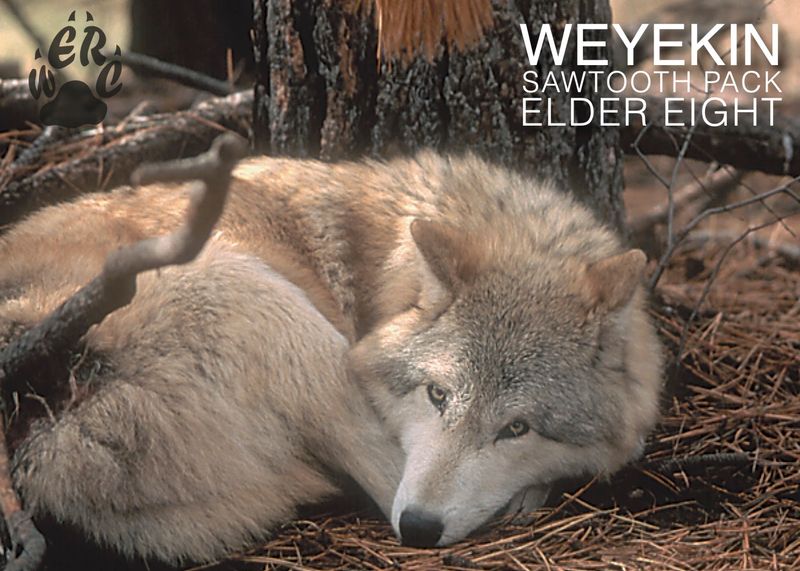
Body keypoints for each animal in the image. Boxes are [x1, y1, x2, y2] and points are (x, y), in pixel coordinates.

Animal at [0, 151, 662, 563]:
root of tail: (43, 404)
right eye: (437, 395)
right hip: (275, 309)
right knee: (377, 473)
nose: (419, 529)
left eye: (517, 428)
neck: (381, 273)